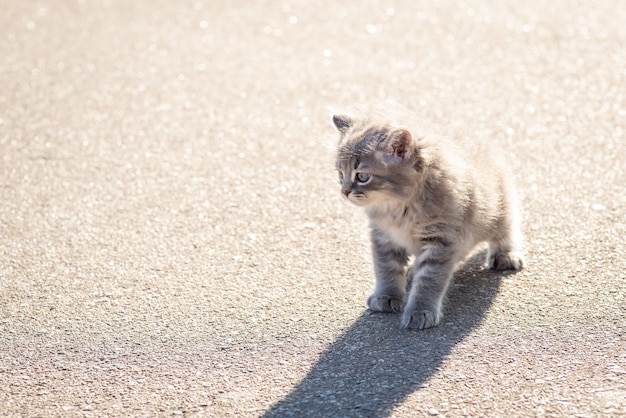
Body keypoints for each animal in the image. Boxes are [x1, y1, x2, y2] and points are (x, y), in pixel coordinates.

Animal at [332, 108, 520, 330]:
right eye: (340, 174)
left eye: (362, 176)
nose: (344, 192)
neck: (398, 210)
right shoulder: (383, 237)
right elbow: (386, 269)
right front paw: (385, 295)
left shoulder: (440, 240)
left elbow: (429, 280)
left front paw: (420, 311)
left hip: (500, 209)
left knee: (507, 229)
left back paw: (506, 255)